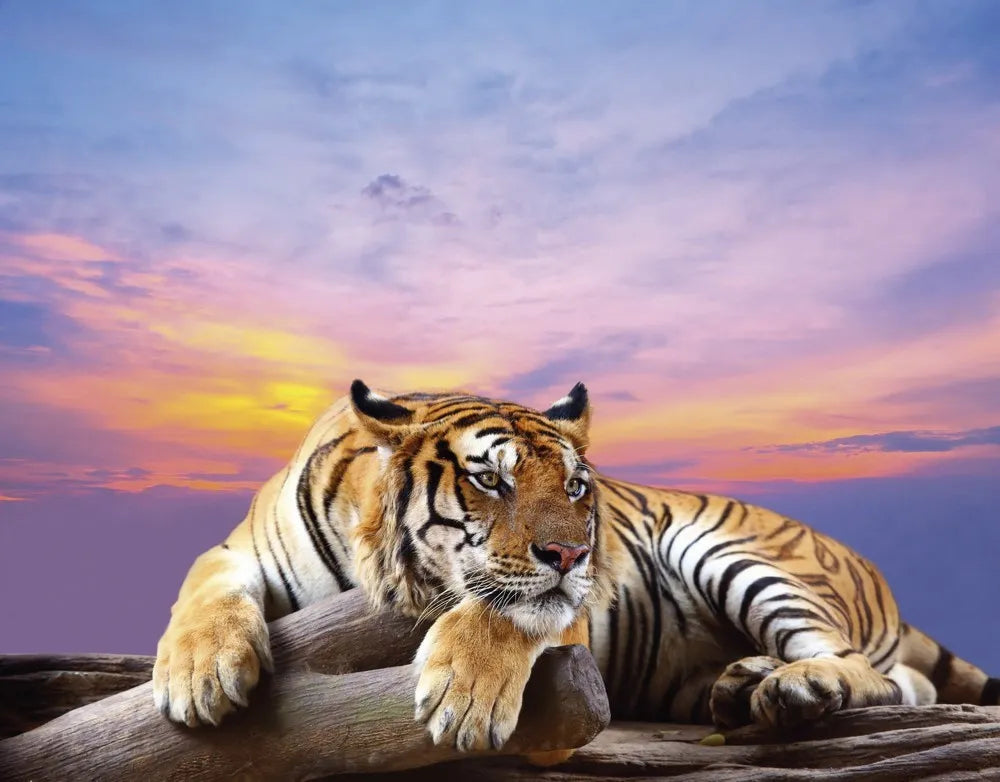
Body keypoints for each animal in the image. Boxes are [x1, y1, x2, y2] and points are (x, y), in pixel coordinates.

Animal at [153, 380, 999, 758]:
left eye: (575, 488)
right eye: (489, 479)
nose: (573, 554)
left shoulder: (564, 608)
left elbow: (506, 610)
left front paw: (464, 700)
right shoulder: (238, 550)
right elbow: (201, 588)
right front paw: (199, 676)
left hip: (734, 553)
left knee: (871, 672)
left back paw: (795, 688)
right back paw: (742, 685)